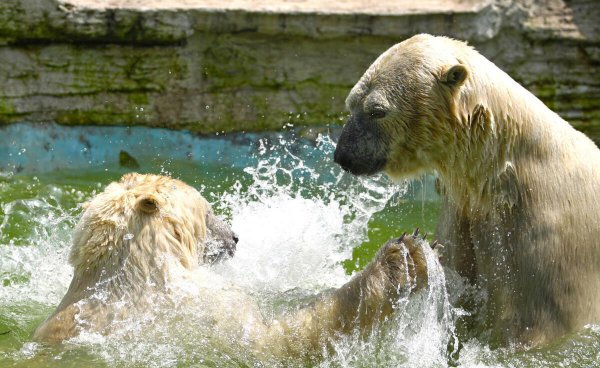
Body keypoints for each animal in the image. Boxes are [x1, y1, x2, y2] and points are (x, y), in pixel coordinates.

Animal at [32, 174, 434, 360]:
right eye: (209, 210)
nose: (236, 237)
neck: (131, 273)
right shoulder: (205, 310)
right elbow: (273, 342)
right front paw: (402, 257)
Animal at [336, 33, 600, 346]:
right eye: (351, 103)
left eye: (377, 111)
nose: (343, 155)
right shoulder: (463, 207)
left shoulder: (549, 237)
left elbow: (533, 318)